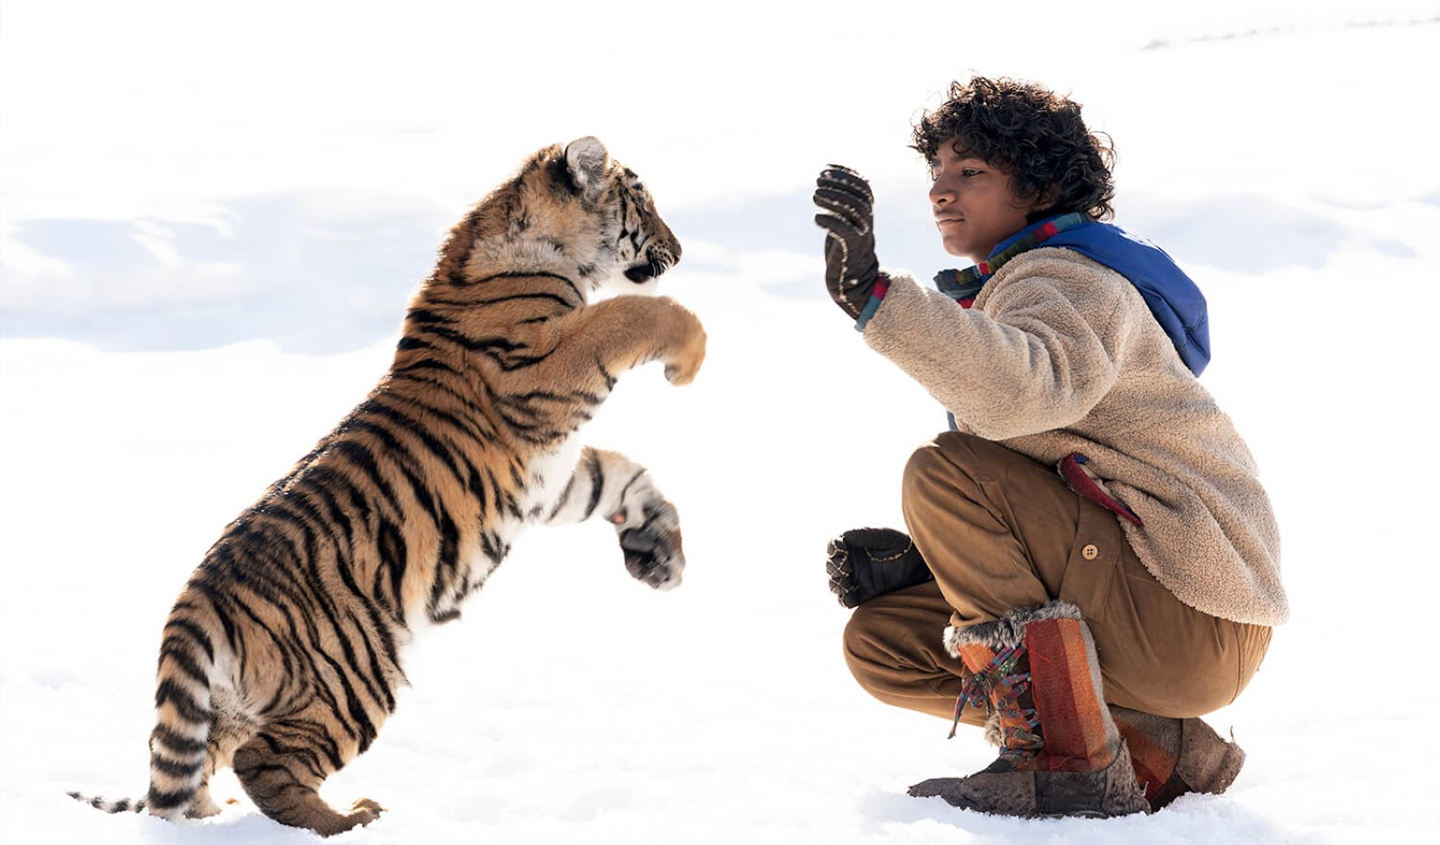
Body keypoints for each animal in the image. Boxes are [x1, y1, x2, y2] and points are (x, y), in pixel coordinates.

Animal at [69, 136, 706, 836]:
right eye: (642, 201)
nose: (680, 249)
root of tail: (194, 601)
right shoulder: (542, 364)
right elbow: (634, 313)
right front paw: (688, 359)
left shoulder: (552, 480)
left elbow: (620, 476)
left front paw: (660, 555)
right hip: (353, 676)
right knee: (266, 763)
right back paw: (349, 820)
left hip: (240, 701)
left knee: (196, 767)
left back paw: (212, 815)